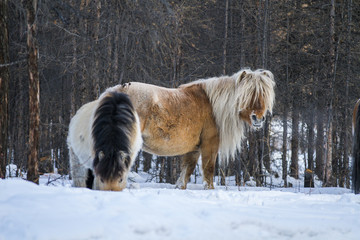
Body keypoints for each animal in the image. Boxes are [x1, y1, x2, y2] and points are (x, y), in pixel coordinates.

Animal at [67, 68, 276, 190]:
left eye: (264, 94)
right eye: (248, 93)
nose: (258, 118)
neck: (212, 105)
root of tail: (110, 94)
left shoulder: (194, 148)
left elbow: (186, 172)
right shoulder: (209, 144)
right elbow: (208, 170)